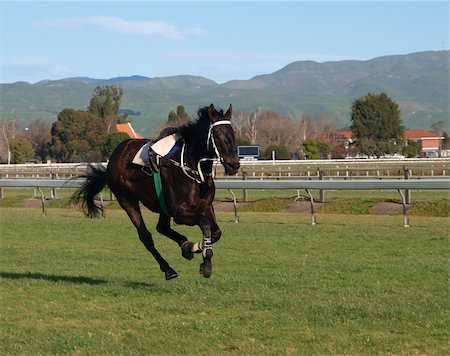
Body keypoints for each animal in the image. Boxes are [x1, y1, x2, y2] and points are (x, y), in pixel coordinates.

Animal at [71, 104, 239, 280]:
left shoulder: (206, 206)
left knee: (162, 227)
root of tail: (113, 159)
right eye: (217, 135)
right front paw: (204, 261)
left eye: (233, 133)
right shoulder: (179, 212)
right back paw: (168, 269)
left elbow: (216, 233)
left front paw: (194, 249)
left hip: (161, 205)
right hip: (127, 200)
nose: (234, 165)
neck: (194, 170)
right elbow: (205, 224)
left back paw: (185, 245)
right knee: (145, 236)